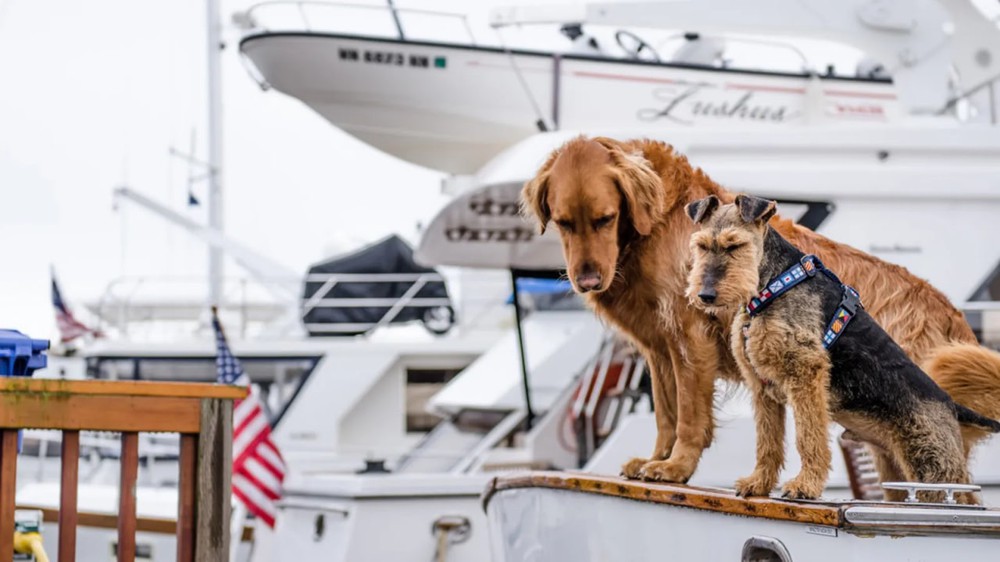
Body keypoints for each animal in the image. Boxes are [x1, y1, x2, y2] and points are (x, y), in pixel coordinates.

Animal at [520, 135, 1000, 486]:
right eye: (562, 222)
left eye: (605, 218)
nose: (587, 281)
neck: (656, 223)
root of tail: (956, 319)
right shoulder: (659, 347)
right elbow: (666, 414)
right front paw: (655, 459)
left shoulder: (690, 339)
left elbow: (689, 417)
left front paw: (676, 466)